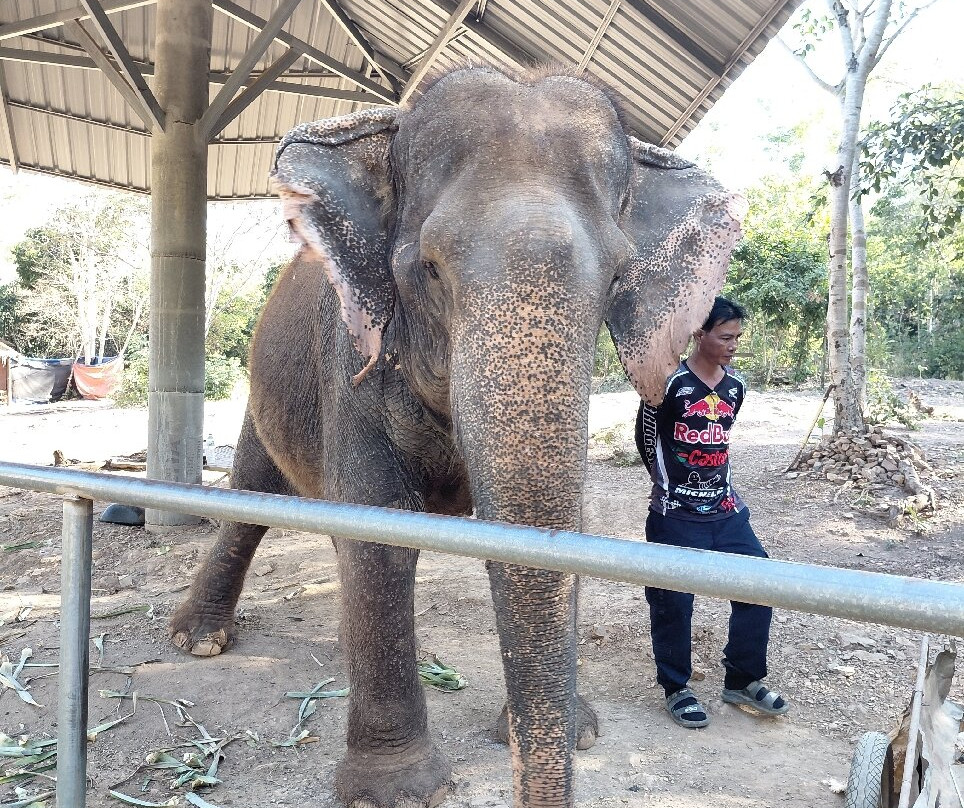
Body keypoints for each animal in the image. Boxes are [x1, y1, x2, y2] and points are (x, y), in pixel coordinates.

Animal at [168, 64, 745, 808]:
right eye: (431, 270)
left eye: (617, 276)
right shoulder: (348, 360)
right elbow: (379, 526)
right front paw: (394, 791)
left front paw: (575, 732)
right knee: (253, 493)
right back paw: (199, 640)